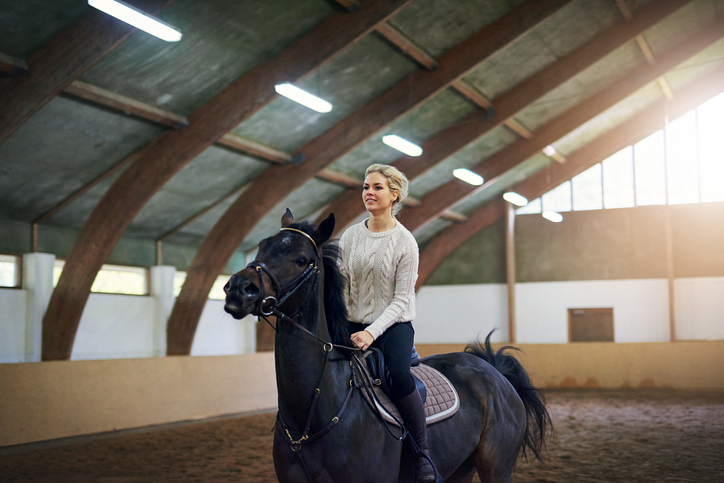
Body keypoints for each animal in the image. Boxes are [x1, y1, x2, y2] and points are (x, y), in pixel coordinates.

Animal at [223, 211, 552, 483]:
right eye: (261, 247)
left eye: (302, 259)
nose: (238, 289)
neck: (313, 414)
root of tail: (493, 372)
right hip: (460, 470)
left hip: (497, 469)